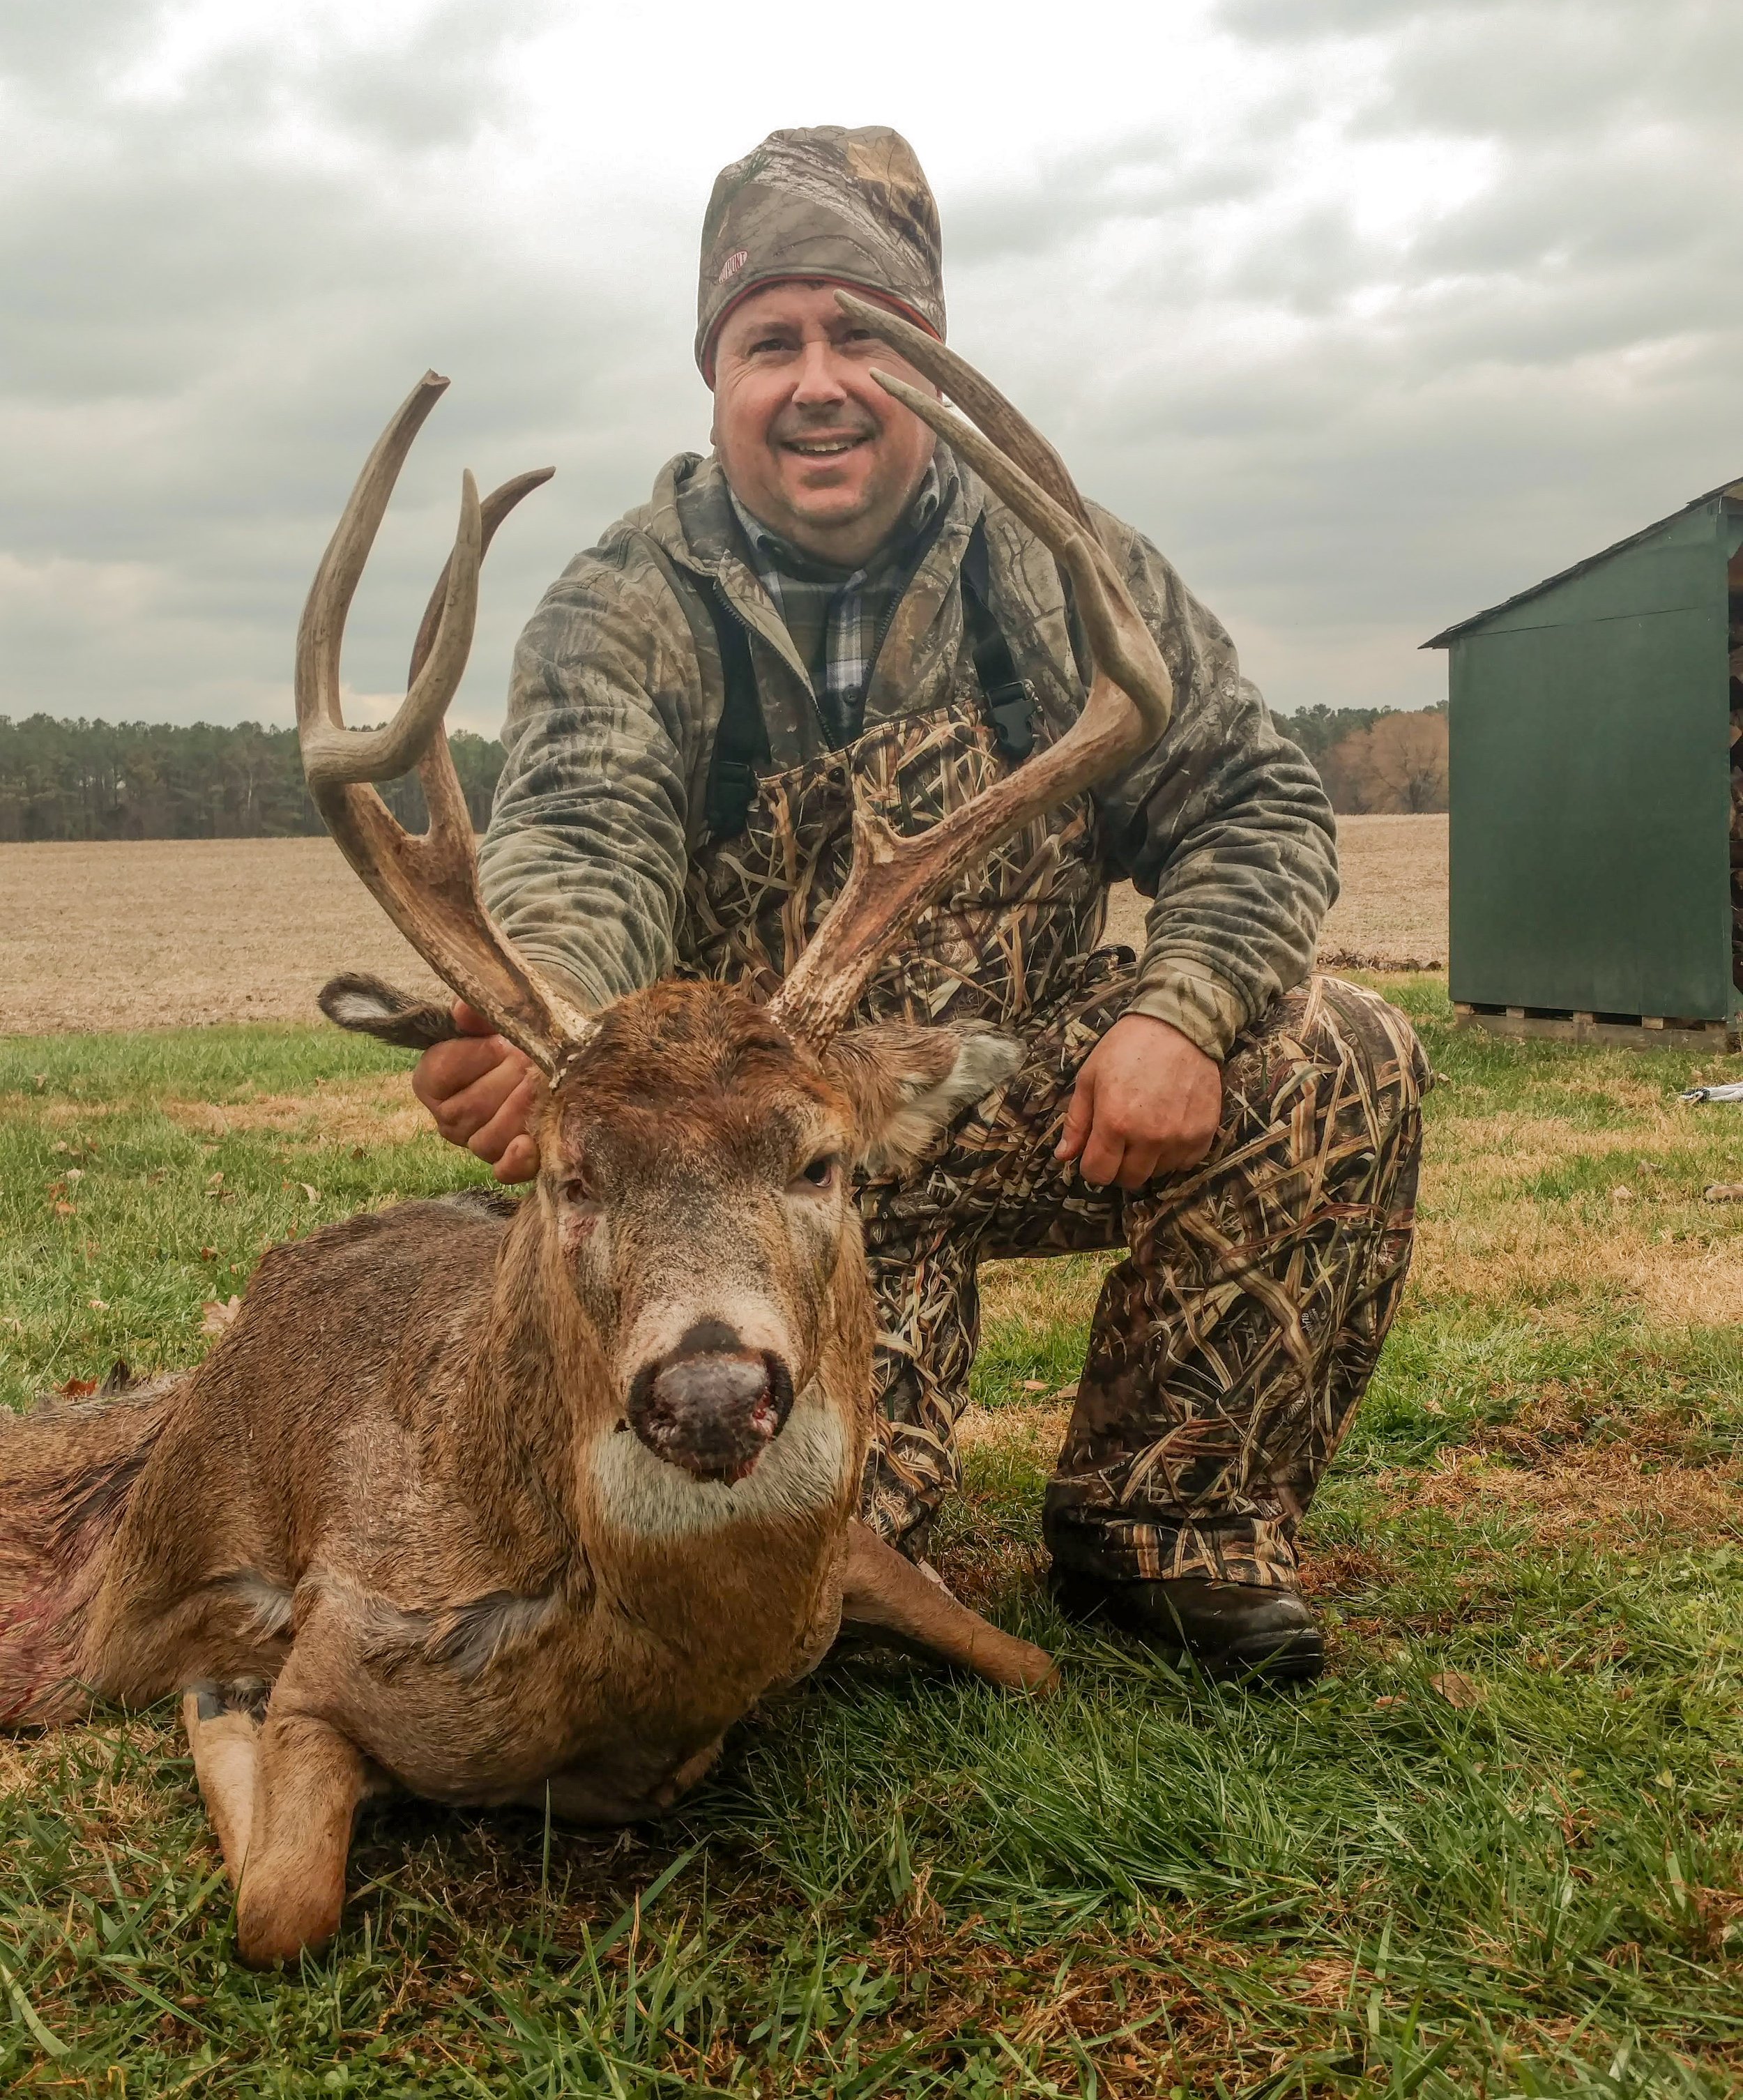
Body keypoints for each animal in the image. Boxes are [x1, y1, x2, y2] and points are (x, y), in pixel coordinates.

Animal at [0, 301, 1175, 1969]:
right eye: (571, 1174)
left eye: (820, 1159)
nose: (708, 1387)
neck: (635, 1686)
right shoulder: (340, 1652)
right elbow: (282, 1900)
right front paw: (227, 1688)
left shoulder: (855, 1565)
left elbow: (1042, 1664)